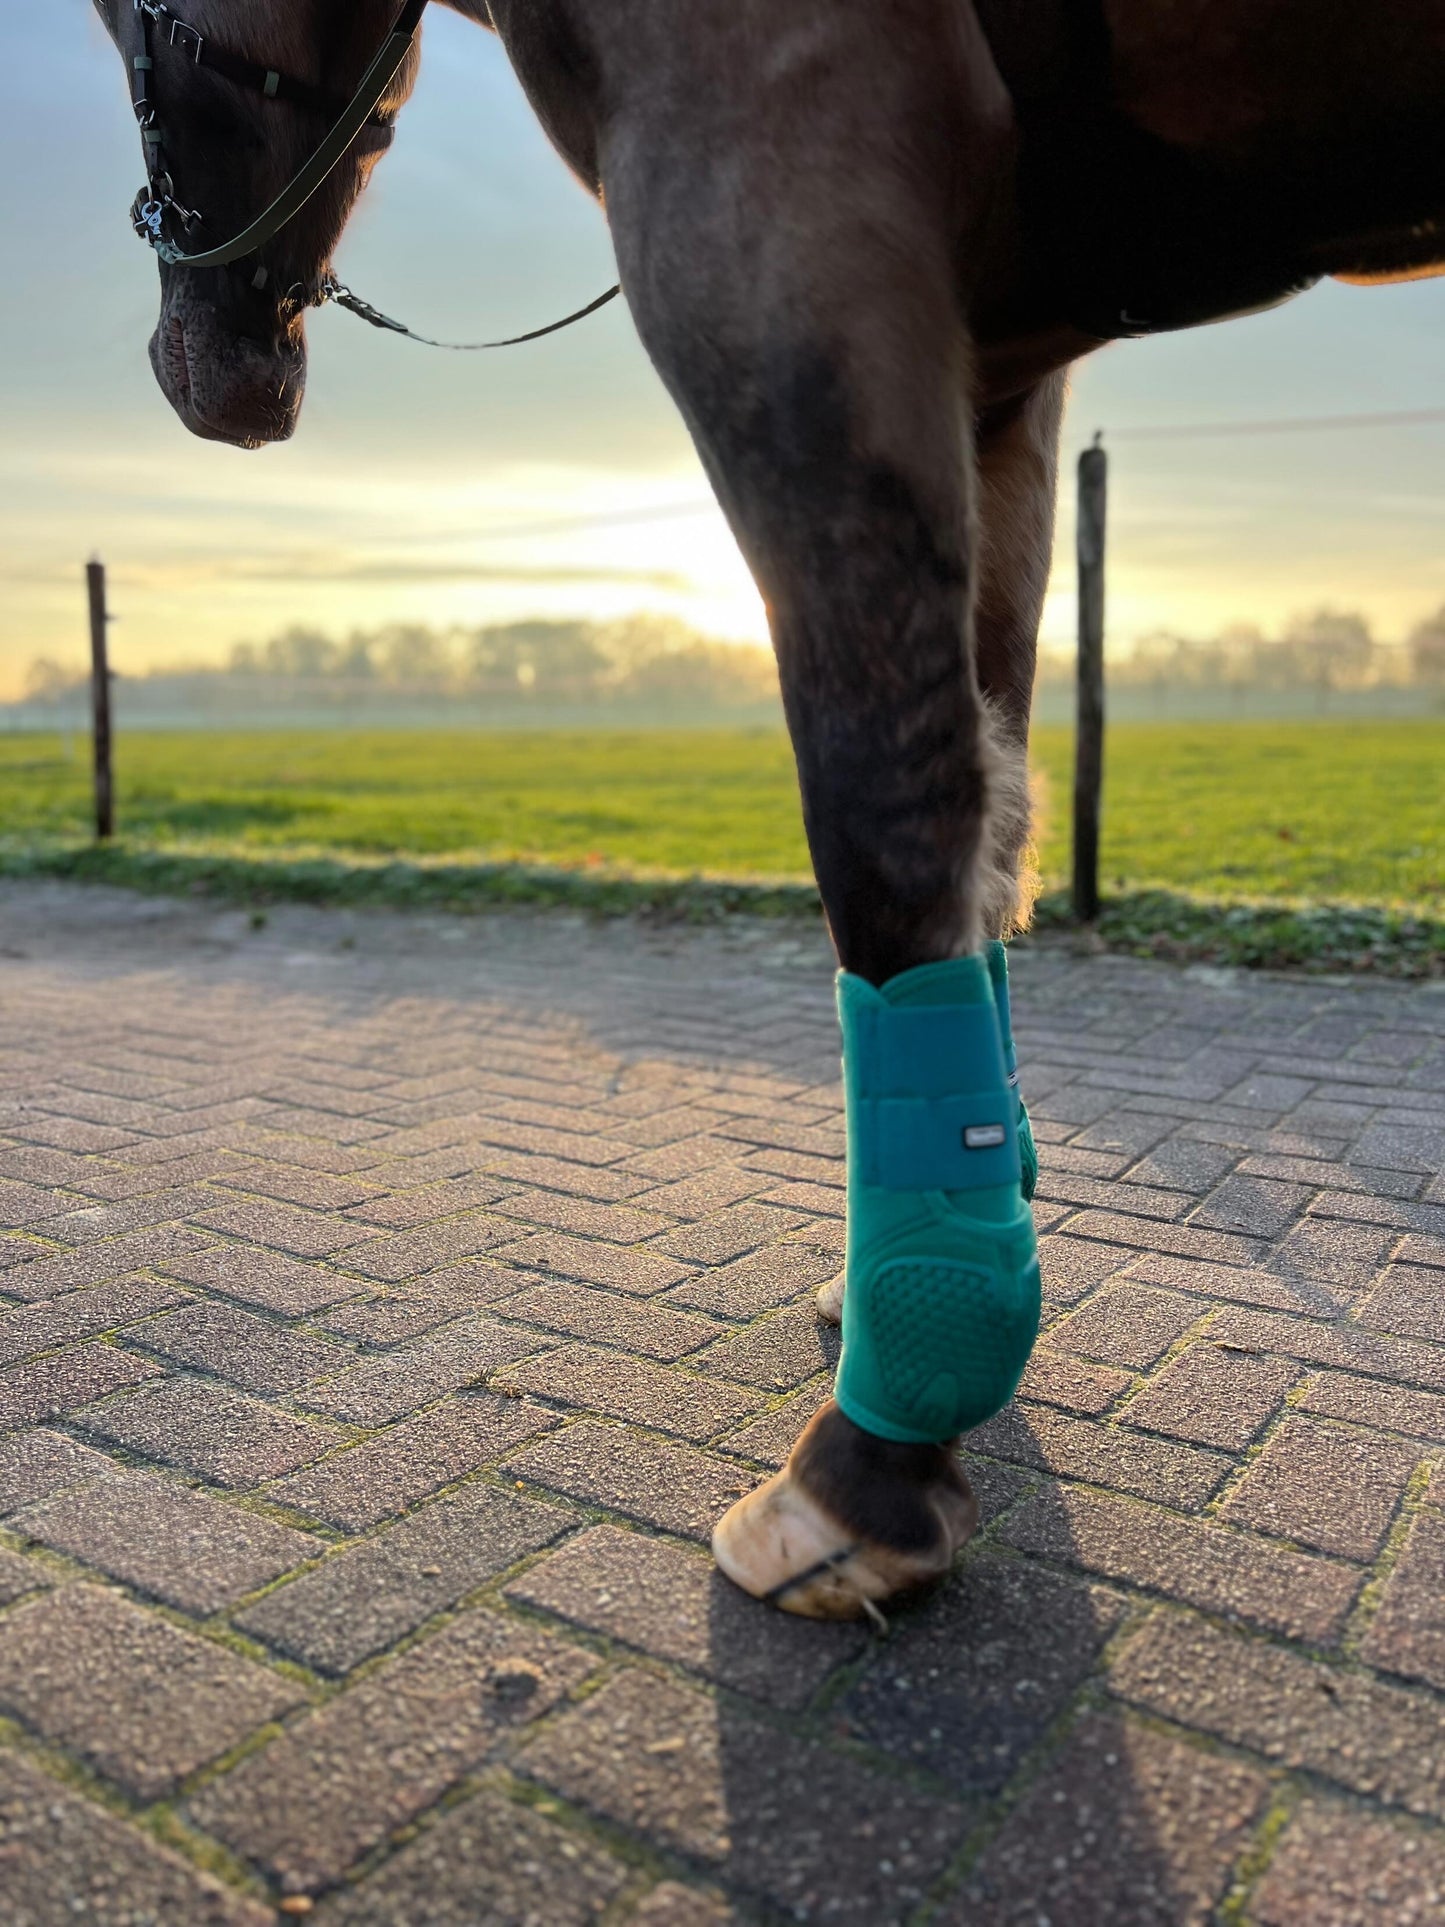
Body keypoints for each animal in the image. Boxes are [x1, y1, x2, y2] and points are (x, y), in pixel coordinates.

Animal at [90, 0, 1445, 1620]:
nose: (201, 365)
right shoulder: (998, 367)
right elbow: (986, 815)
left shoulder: (779, 218)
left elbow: (892, 812)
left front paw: (876, 1454)